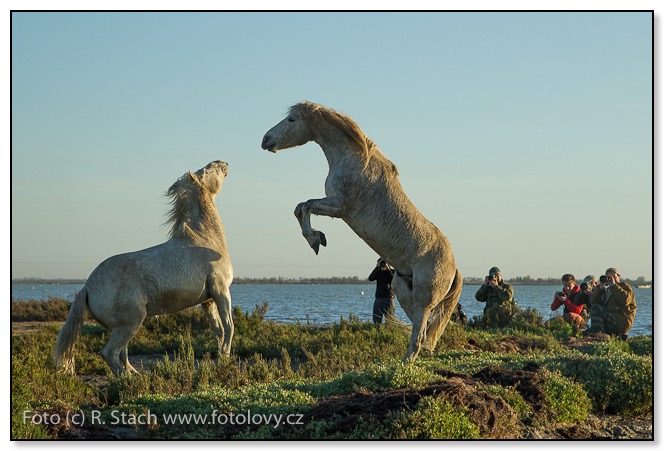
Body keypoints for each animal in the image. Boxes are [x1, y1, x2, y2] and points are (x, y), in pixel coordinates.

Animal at [54, 161, 236, 376]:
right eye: (207, 170)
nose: (223, 163)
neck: (205, 238)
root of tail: (87, 288)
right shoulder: (221, 290)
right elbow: (229, 326)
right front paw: (225, 357)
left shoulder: (207, 300)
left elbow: (218, 330)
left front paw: (220, 358)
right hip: (132, 322)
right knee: (109, 352)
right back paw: (129, 379)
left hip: (121, 326)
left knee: (122, 353)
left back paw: (137, 374)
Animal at [260, 103, 462, 364]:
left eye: (292, 119)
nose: (265, 140)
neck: (355, 159)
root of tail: (454, 267)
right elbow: (300, 207)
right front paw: (317, 238)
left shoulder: (340, 207)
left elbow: (305, 206)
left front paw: (316, 240)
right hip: (403, 290)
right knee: (424, 329)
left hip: (424, 297)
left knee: (420, 332)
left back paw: (406, 362)